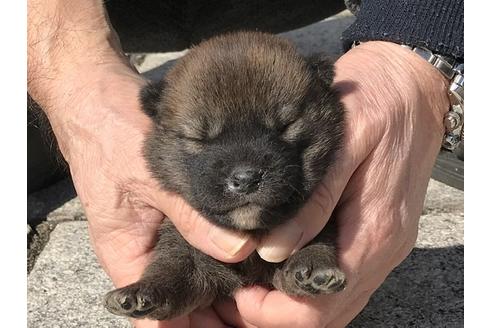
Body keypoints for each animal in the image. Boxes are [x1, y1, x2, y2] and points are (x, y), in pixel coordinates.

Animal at [103, 31, 346, 320]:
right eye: (198, 138)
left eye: (286, 126)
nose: (246, 179)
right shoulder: (183, 246)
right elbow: (173, 266)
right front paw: (144, 289)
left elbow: (319, 238)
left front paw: (313, 265)